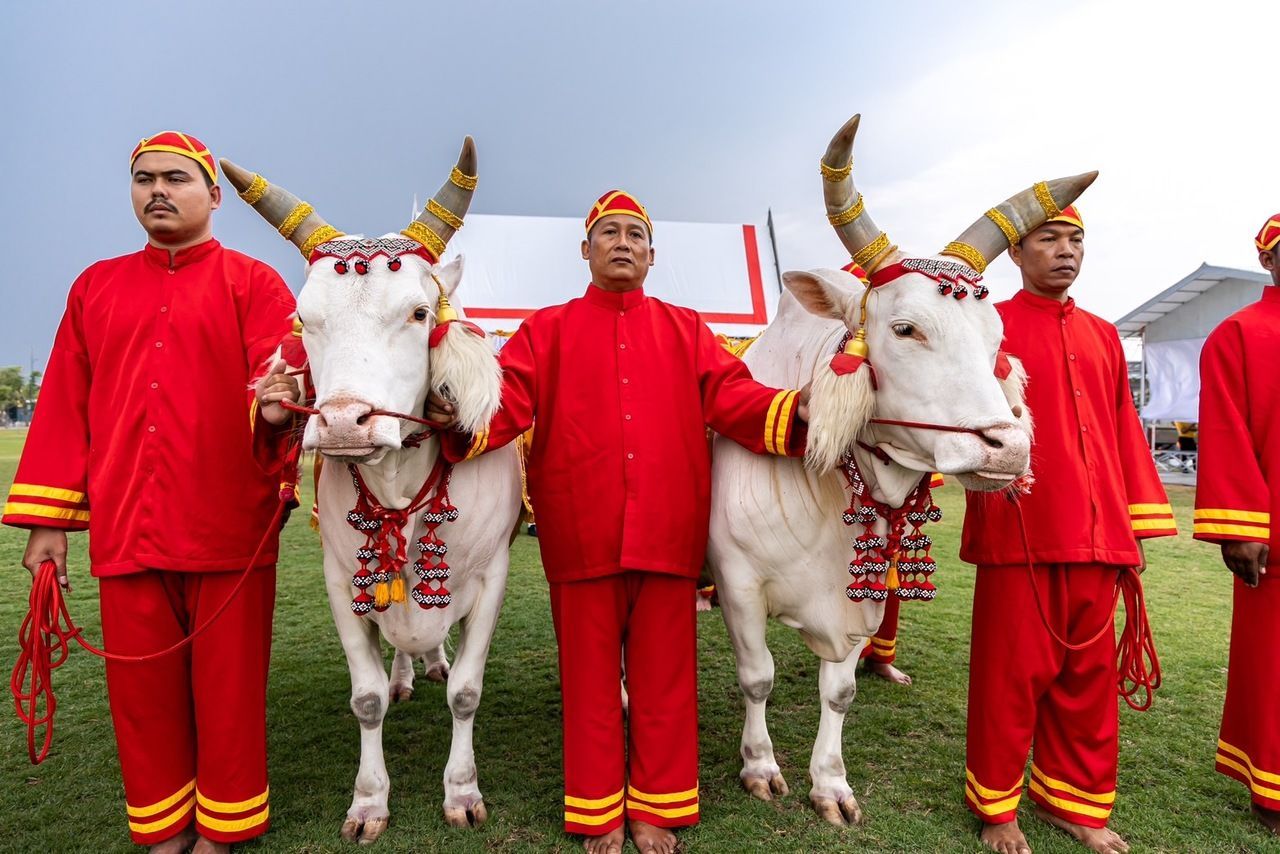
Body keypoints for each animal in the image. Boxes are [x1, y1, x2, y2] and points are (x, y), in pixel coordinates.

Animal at [221, 140, 519, 839]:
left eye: (418, 312)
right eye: (305, 318)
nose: (341, 424)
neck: (397, 477)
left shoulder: (493, 573)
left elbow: (467, 691)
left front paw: (462, 792)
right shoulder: (338, 577)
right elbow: (366, 697)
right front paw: (368, 802)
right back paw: (411, 672)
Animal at [711, 115, 1090, 829]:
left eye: (997, 338)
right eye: (906, 329)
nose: (1007, 449)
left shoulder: (856, 599)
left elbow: (839, 693)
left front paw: (830, 784)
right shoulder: (737, 578)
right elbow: (758, 676)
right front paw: (761, 767)